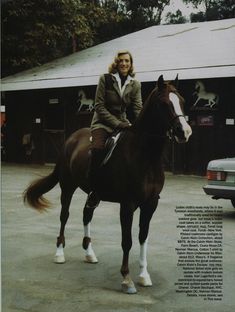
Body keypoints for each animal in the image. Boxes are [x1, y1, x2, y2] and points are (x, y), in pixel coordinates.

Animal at [23, 74, 192, 294]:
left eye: (182, 101)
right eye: (164, 104)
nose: (184, 132)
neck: (144, 156)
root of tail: (71, 140)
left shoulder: (150, 204)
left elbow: (143, 237)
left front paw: (144, 275)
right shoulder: (127, 205)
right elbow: (127, 241)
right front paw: (127, 279)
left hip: (94, 195)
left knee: (86, 215)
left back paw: (89, 253)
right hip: (67, 187)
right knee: (64, 216)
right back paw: (59, 253)